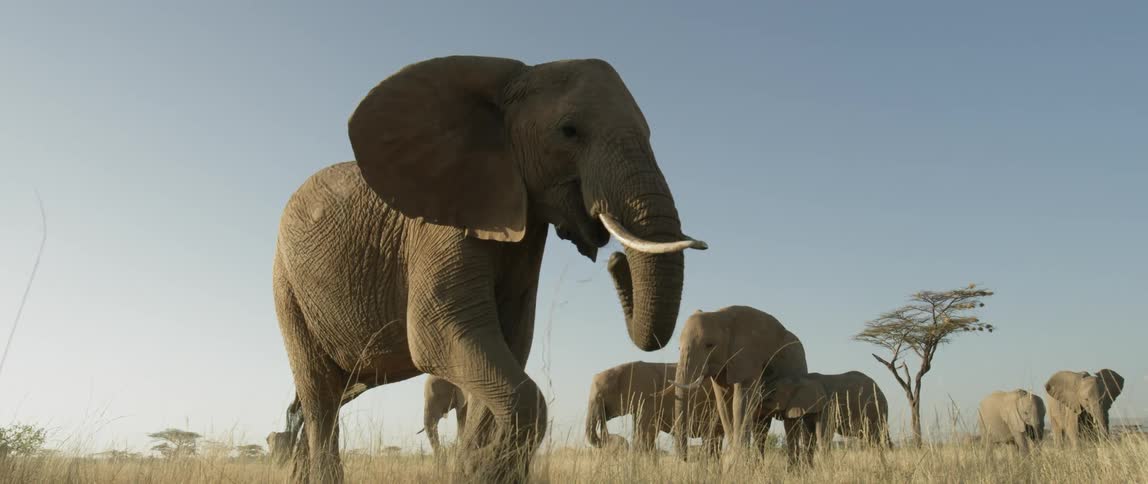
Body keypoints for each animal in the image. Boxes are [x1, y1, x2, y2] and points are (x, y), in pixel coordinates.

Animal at [272, 55, 707, 483]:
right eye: (569, 131)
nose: (616, 261)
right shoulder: (444, 221)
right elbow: (439, 333)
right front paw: (486, 467)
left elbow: (510, 340)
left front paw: (474, 466)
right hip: (286, 284)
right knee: (319, 395)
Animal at [671, 306, 808, 464]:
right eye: (678, 348)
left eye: (709, 345)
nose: (685, 460)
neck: (721, 317)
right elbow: (724, 405)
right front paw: (735, 457)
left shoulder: (749, 357)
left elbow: (741, 402)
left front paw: (738, 458)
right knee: (761, 428)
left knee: (791, 423)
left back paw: (794, 465)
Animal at [760, 371, 891, 460]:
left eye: (771, 395)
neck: (802, 379)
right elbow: (808, 437)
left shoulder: (827, 405)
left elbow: (823, 435)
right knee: (874, 439)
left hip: (876, 410)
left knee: (878, 437)